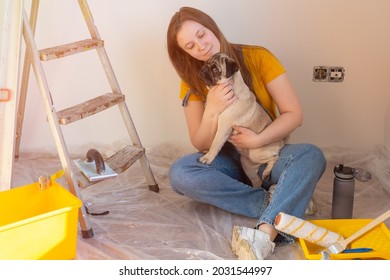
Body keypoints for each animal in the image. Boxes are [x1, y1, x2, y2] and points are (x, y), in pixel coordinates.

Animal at [198, 52, 284, 188]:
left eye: (215, 69)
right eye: (206, 63)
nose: (203, 70)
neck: (232, 89)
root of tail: (280, 143)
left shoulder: (223, 127)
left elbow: (215, 143)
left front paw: (208, 157)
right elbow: (211, 140)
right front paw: (206, 150)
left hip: (256, 153)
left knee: (274, 157)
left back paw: (266, 173)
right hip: (247, 164)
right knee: (257, 181)